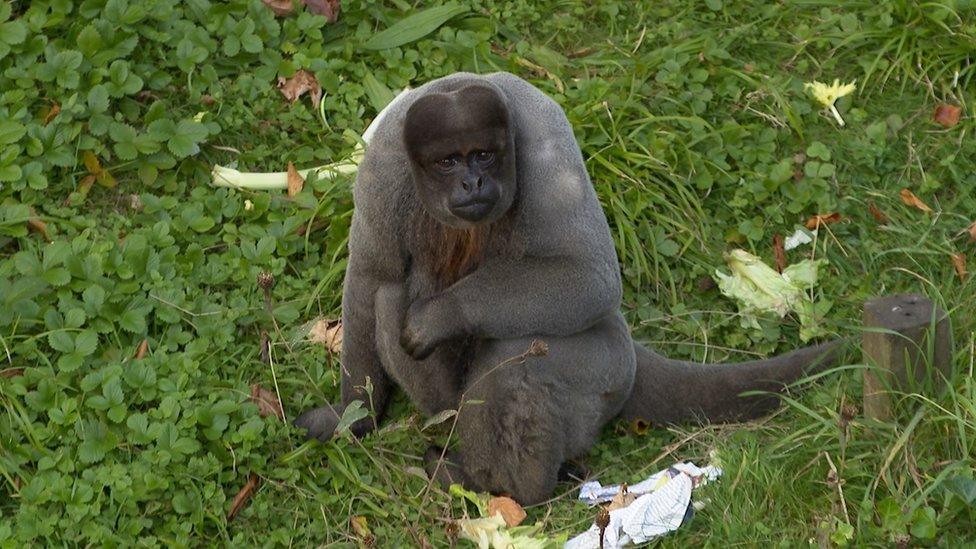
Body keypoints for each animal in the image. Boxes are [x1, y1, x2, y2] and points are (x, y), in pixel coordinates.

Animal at [292, 71, 848, 506]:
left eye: (484, 155)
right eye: (448, 162)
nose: (472, 183)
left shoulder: (545, 145)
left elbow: (589, 278)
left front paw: (442, 315)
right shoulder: (382, 167)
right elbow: (372, 277)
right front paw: (353, 416)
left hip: (607, 375)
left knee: (516, 358)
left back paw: (503, 488)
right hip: (448, 403)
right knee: (393, 298)